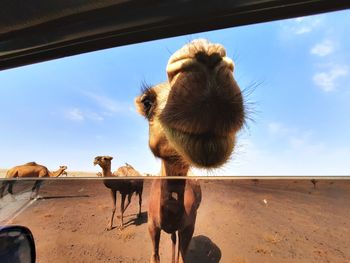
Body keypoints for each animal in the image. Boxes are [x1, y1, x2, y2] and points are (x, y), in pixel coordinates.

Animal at [135, 39, 246, 263]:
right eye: (147, 102)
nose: (207, 51)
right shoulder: (151, 225)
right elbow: (155, 255)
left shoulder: (188, 226)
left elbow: (181, 256)